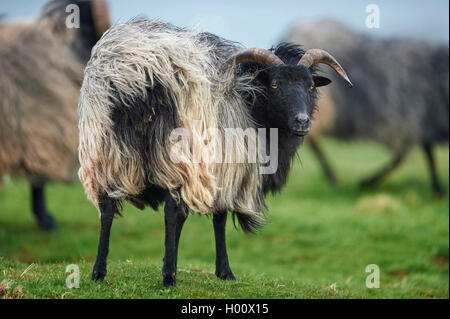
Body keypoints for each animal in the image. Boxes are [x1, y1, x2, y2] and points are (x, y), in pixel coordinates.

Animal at [78, 18, 352, 288]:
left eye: (310, 86)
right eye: (275, 84)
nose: (302, 121)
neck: (250, 100)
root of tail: (133, 70)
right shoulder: (227, 166)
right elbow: (218, 218)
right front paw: (224, 271)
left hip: (105, 148)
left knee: (107, 206)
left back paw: (99, 272)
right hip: (179, 152)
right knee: (171, 211)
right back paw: (168, 277)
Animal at [284, 20, 448, 196]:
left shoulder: (416, 123)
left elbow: (423, 152)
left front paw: (437, 189)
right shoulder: (406, 122)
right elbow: (406, 156)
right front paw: (367, 182)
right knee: (314, 140)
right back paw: (332, 177)